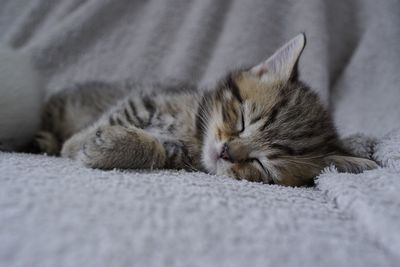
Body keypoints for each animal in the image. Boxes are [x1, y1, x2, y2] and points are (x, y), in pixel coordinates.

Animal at [29, 34, 376, 186]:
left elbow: (158, 149)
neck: (193, 132)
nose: (225, 151)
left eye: (261, 163)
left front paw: (113, 146)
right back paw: (47, 140)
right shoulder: (145, 99)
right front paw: (76, 144)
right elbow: (118, 116)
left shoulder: (179, 157)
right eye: (243, 120)